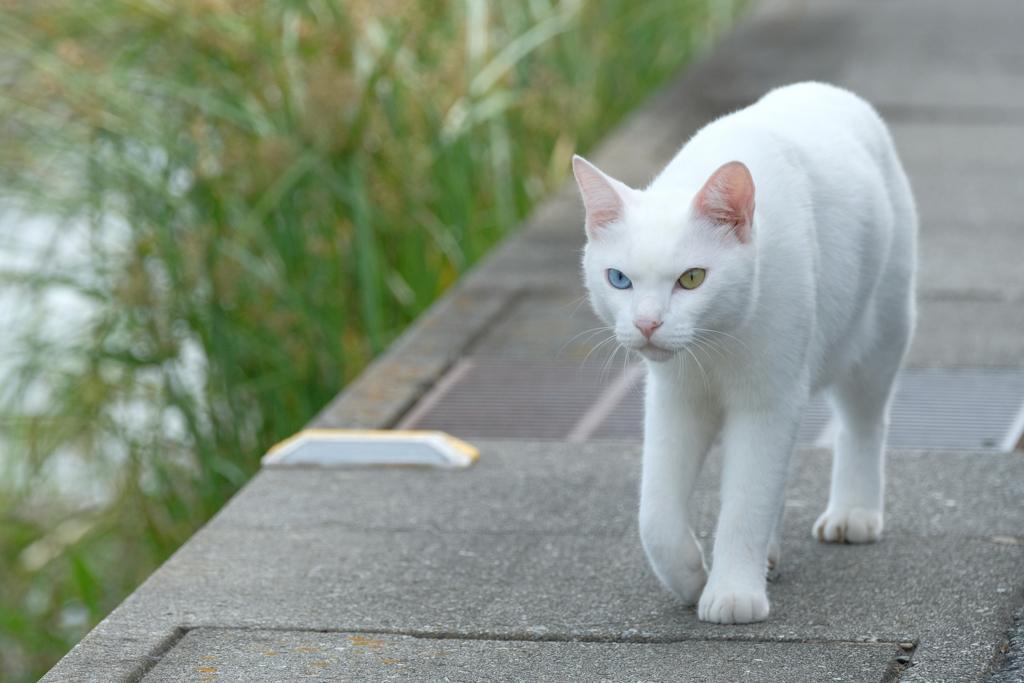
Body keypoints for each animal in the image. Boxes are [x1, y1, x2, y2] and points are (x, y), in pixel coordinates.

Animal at [573, 82, 917, 622]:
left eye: (693, 278)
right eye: (619, 279)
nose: (648, 324)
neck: (713, 347)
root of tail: (825, 88)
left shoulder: (768, 401)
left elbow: (747, 501)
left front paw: (733, 592)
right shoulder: (675, 400)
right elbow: (655, 515)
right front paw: (691, 577)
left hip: (880, 334)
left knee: (863, 424)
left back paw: (853, 514)